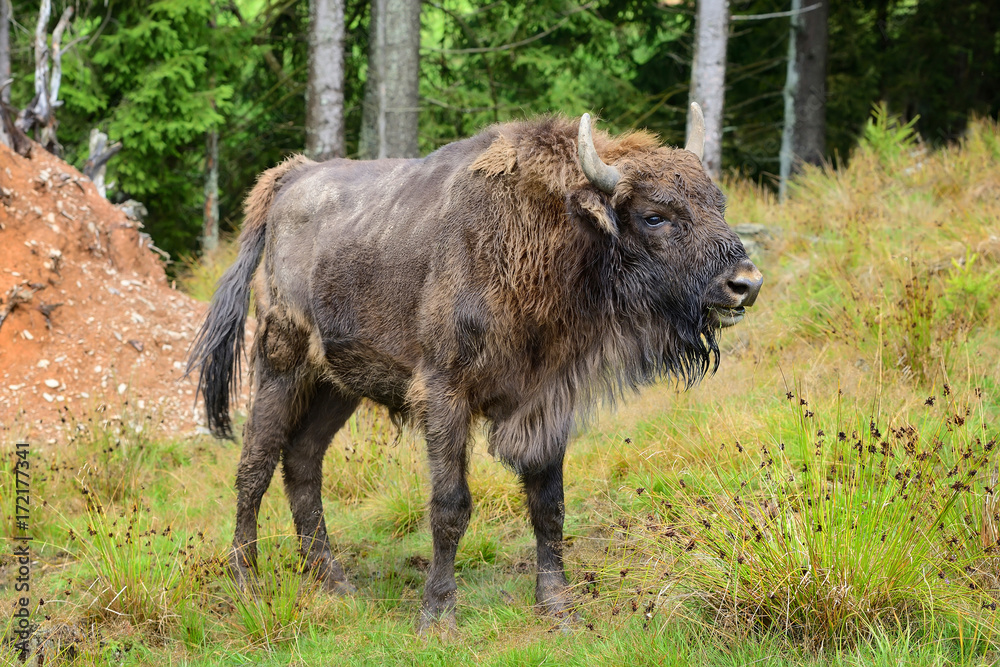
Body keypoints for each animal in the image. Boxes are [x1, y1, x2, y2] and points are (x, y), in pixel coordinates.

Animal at [188, 104, 762, 631]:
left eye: (717, 202)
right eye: (654, 215)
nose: (745, 283)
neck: (540, 234)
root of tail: (289, 179)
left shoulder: (547, 401)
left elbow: (548, 503)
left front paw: (557, 608)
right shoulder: (445, 396)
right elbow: (451, 505)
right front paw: (437, 615)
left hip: (338, 385)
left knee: (303, 461)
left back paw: (335, 582)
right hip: (281, 366)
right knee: (255, 465)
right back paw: (247, 582)